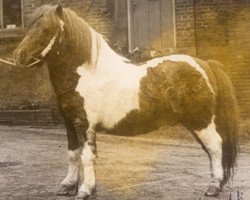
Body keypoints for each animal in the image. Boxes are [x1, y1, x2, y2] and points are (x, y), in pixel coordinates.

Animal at [12, 4, 239, 200]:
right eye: (28, 26)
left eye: (46, 29)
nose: (18, 56)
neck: (85, 73)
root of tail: (205, 64)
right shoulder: (69, 123)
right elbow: (73, 153)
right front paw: (68, 186)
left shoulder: (85, 125)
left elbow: (86, 156)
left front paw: (85, 190)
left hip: (201, 121)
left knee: (215, 147)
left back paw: (213, 187)